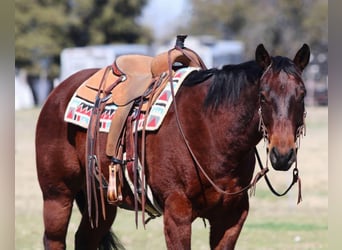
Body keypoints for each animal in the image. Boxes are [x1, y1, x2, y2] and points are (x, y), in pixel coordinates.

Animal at [36, 43, 312, 250]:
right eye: (263, 96)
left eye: (302, 94)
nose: (282, 155)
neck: (210, 131)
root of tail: (57, 92)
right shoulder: (177, 214)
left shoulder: (231, 218)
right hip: (57, 196)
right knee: (54, 240)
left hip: (102, 201)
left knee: (84, 239)